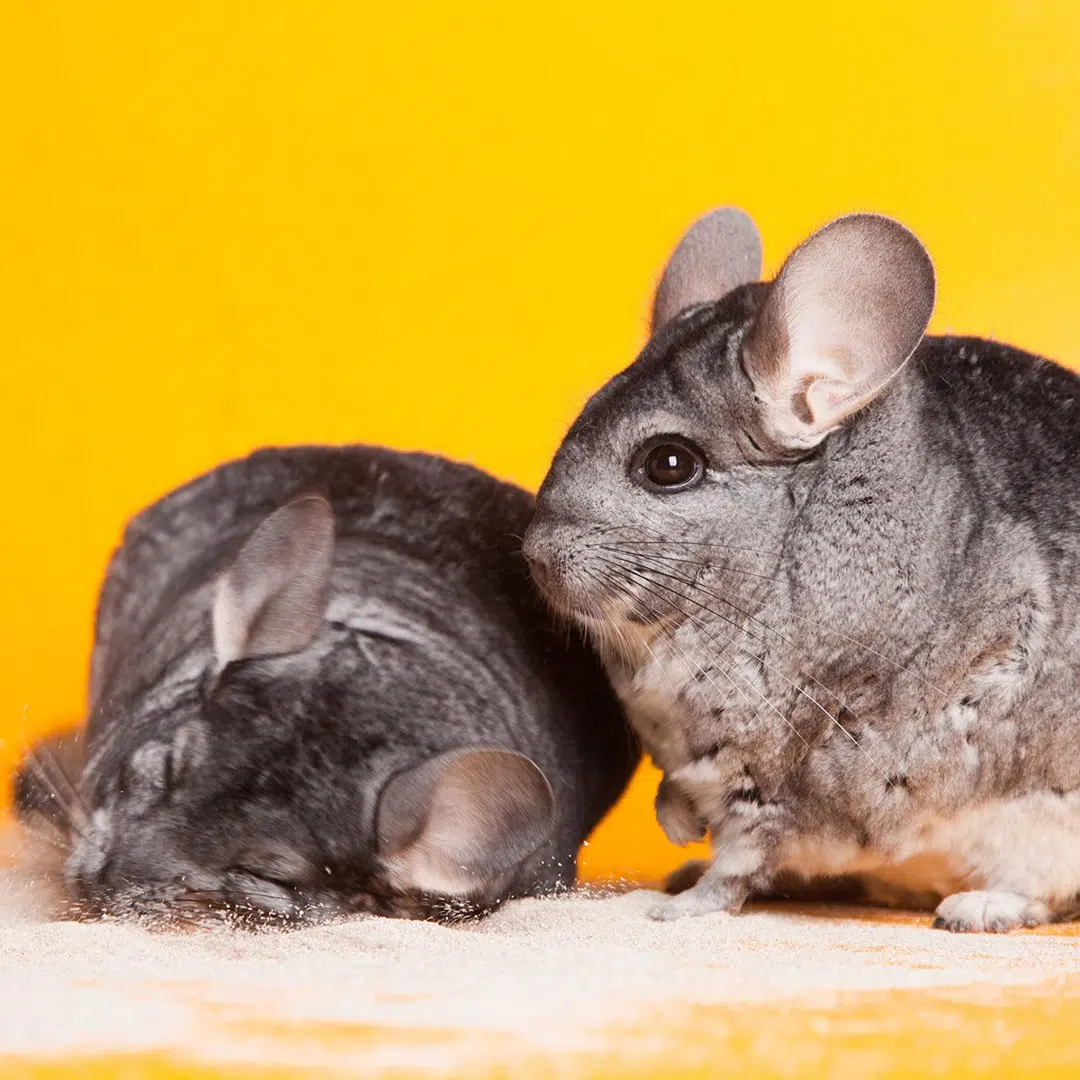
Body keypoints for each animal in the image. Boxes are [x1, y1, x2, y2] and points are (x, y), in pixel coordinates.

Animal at [524, 207, 1080, 932]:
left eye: (668, 463)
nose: (534, 552)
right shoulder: (696, 764)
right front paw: (678, 835)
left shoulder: (771, 775)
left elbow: (739, 861)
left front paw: (667, 908)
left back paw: (976, 907)